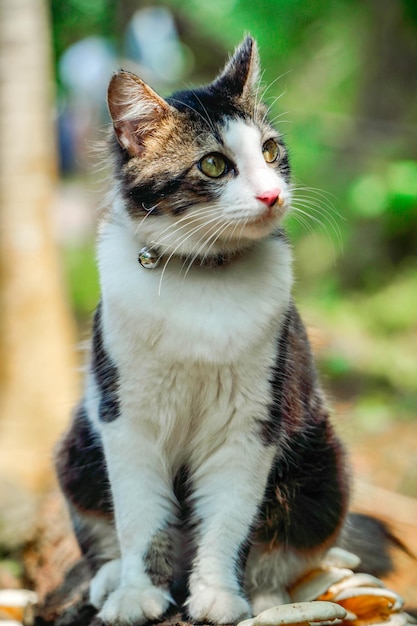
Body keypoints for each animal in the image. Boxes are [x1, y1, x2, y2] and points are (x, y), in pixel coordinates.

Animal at [54, 36, 348, 620]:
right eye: (213, 164)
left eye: (270, 151)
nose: (271, 195)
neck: (203, 275)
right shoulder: (127, 420)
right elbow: (140, 519)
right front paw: (138, 594)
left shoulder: (250, 424)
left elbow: (230, 521)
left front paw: (216, 595)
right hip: (77, 444)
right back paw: (109, 580)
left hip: (324, 468)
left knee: (285, 552)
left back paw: (268, 596)